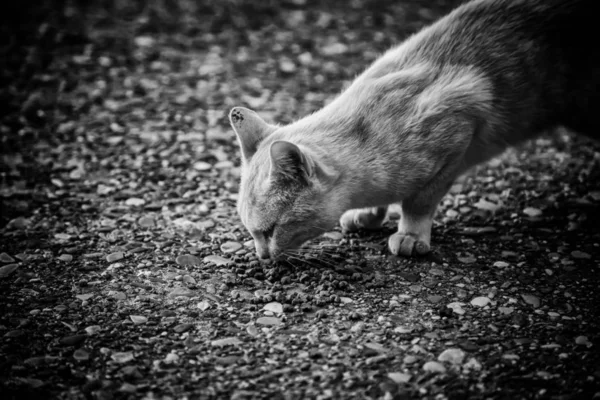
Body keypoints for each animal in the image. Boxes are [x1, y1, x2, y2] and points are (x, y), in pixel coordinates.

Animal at [227, 0, 596, 260]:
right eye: (251, 233)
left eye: (270, 230)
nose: (261, 257)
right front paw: (368, 214)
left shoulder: (459, 126)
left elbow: (419, 200)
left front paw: (412, 234)